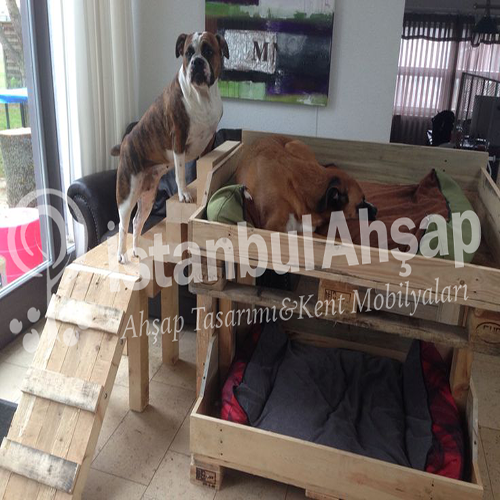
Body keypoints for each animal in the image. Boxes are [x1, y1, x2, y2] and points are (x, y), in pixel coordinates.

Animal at [113, 31, 229, 263]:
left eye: (208, 51)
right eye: (188, 53)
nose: (197, 62)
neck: (202, 96)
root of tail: (125, 142)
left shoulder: (209, 139)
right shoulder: (179, 139)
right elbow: (181, 171)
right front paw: (184, 194)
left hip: (147, 197)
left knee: (137, 222)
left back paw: (136, 250)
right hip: (127, 195)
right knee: (123, 224)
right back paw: (122, 254)